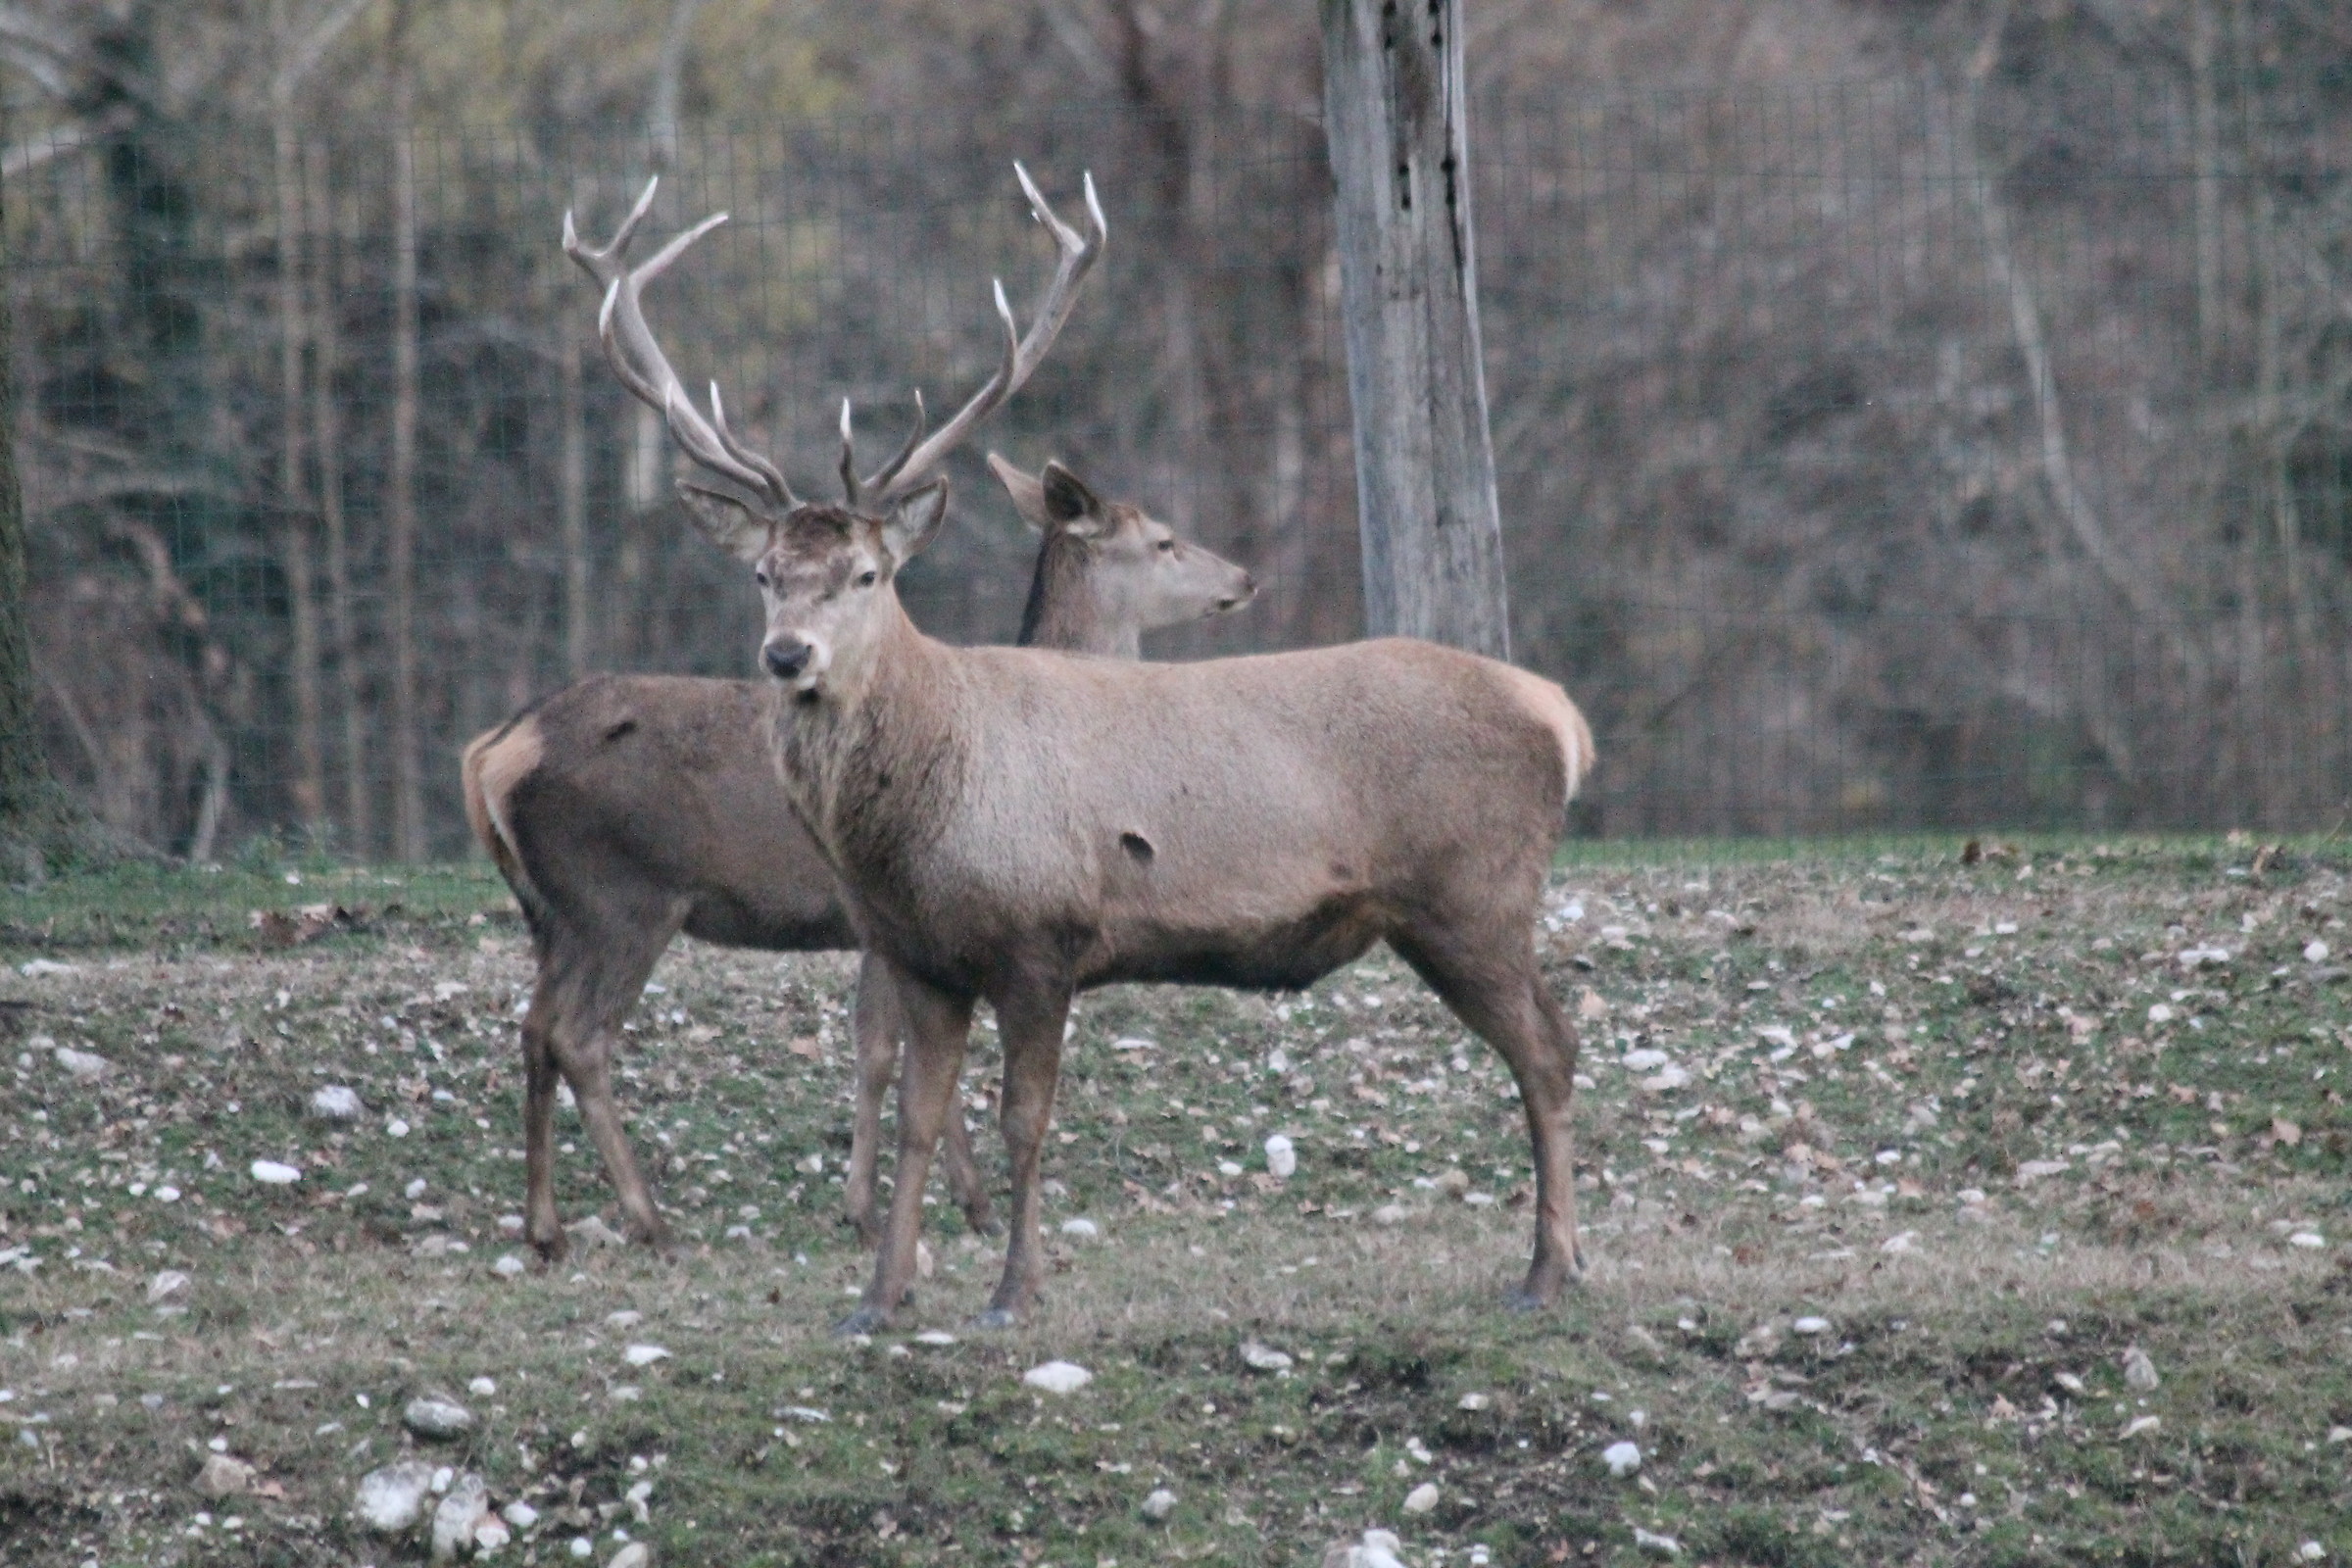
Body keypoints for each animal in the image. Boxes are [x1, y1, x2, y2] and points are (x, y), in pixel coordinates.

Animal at [465, 167, 1252, 1264]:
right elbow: (894, 1048)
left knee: (532, 1026)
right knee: (578, 1035)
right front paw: (908, 1205)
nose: (1243, 578)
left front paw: (907, 1198)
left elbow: (889, 1045)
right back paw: (648, 1218)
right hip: (621, 893)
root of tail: (494, 750)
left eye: (866, 572)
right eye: (1169, 539)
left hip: (547, 911)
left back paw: (544, 1225)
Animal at [587, 192, 1599, 1334]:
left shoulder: (1044, 933)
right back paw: (1562, 1261)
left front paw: (1013, 1290)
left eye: (867, 573)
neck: (917, 819)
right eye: (764, 573)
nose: (787, 655)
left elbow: (1025, 1118)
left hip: (1473, 894)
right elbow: (921, 1119)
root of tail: (1561, 716)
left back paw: (1545, 1270)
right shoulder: (919, 955)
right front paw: (879, 1297)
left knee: (1549, 1052)